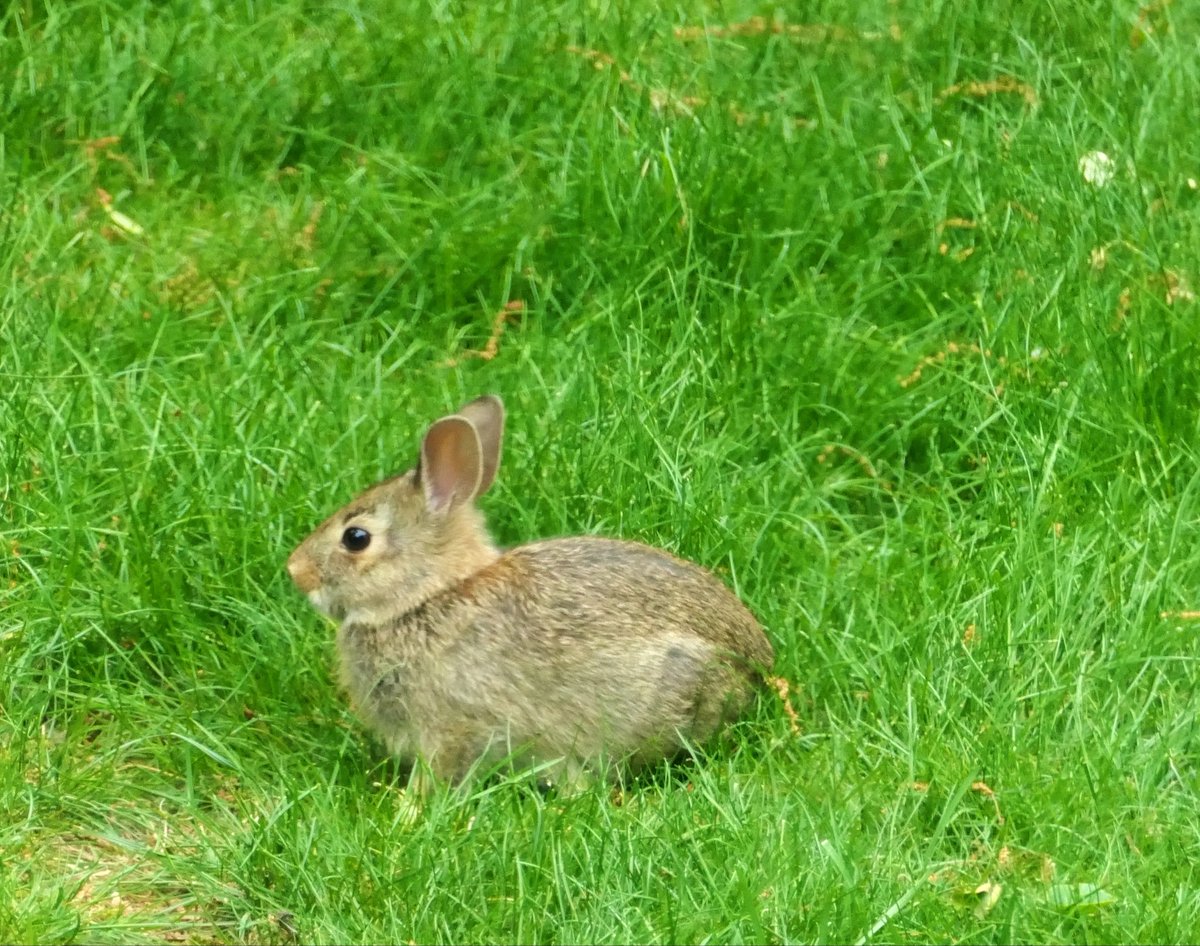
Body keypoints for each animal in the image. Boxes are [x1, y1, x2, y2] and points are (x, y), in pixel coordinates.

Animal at [286, 394, 774, 792]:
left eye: (356, 538)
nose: (295, 571)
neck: (428, 597)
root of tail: (758, 672)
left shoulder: (451, 726)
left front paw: (407, 813)